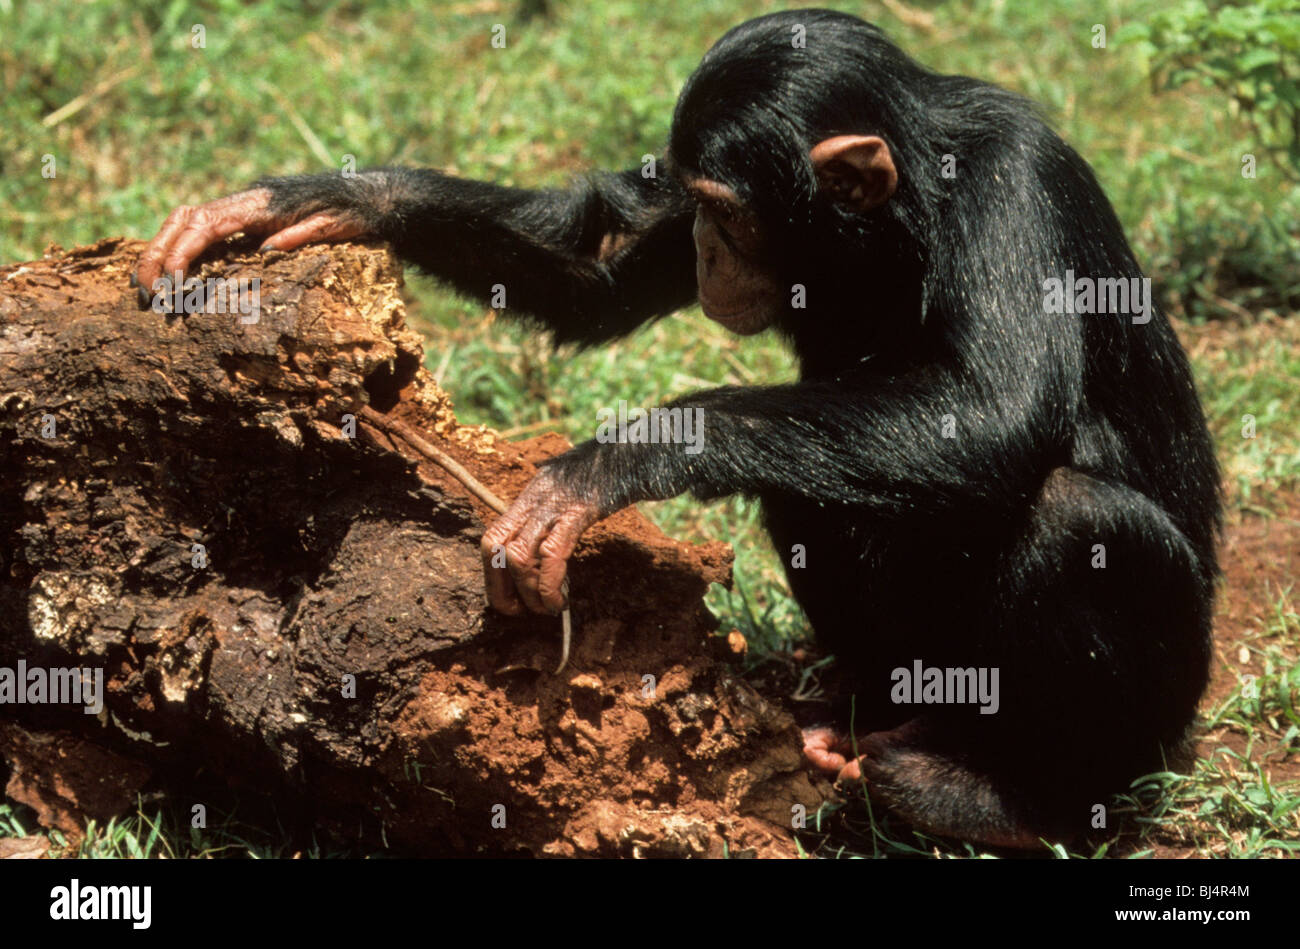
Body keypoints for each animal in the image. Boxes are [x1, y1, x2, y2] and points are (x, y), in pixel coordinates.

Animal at [134, 11, 1216, 847]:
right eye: (689, 202)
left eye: (725, 211)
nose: (697, 244)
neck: (901, 214)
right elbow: (597, 270)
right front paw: (338, 196)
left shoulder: (1010, 185)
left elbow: (995, 410)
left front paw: (611, 463)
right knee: (810, 487)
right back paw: (849, 718)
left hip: (1164, 720)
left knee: (1079, 520)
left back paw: (1002, 799)